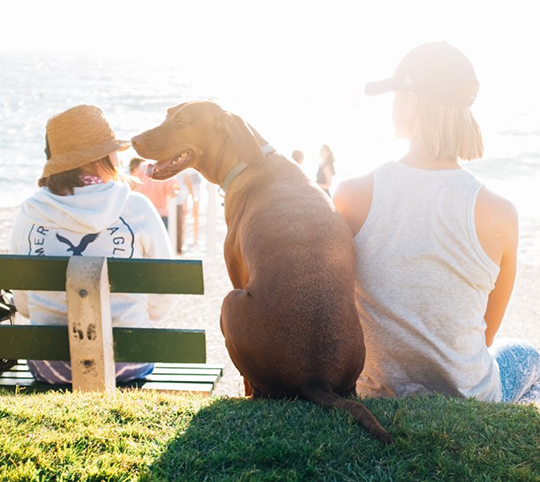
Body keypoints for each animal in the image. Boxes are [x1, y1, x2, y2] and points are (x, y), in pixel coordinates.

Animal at [131, 101, 392, 444]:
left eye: (182, 122)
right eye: (166, 115)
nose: (133, 140)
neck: (250, 159)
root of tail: (315, 378)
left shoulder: (236, 273)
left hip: (229, 302)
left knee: (256, 388)